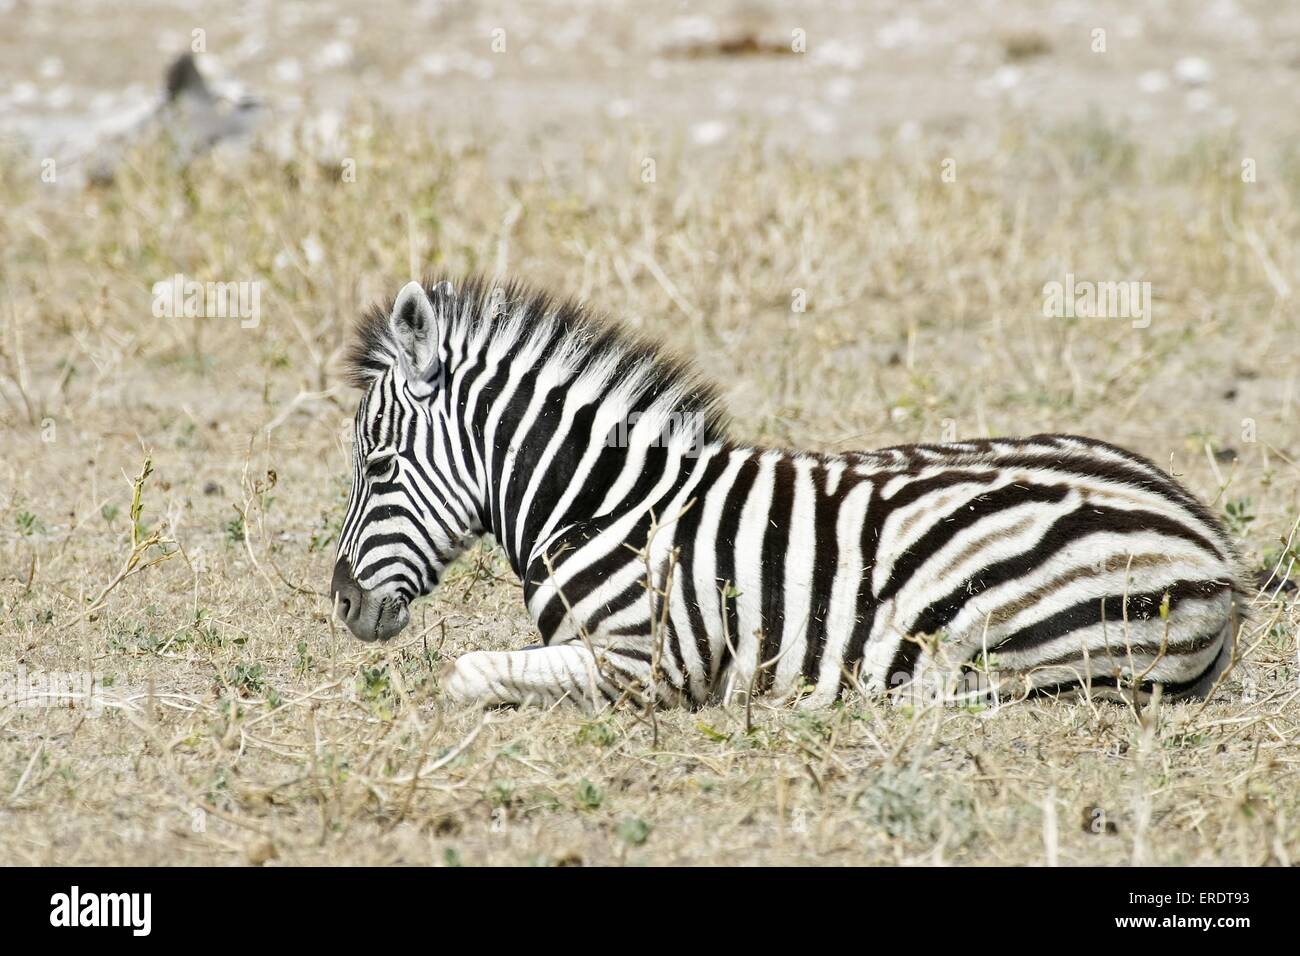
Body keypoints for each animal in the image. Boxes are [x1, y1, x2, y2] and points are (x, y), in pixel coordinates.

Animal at [330, 276, 1247, 709]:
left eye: (378, 467)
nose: (341, 603)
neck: (608, 506)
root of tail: (1210, 540)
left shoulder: (654, 664)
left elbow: (467, 671)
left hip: (1007, 628)